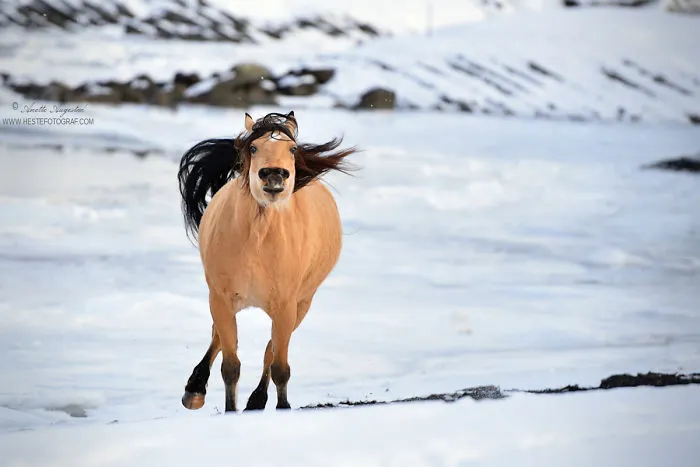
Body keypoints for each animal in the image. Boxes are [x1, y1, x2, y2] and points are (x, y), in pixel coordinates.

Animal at [177, 111, 356, 412]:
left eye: (292, 149)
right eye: (253, 147)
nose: (273, 175)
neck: (258, 241)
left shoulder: (286, 306)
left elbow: (278, 365)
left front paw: (280, 408)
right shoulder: (221, 298)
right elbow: (230, 365)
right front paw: (228, 409)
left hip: (302, 304)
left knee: (270, 353)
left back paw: (256, 400)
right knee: (219, 338)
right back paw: (195, 389)